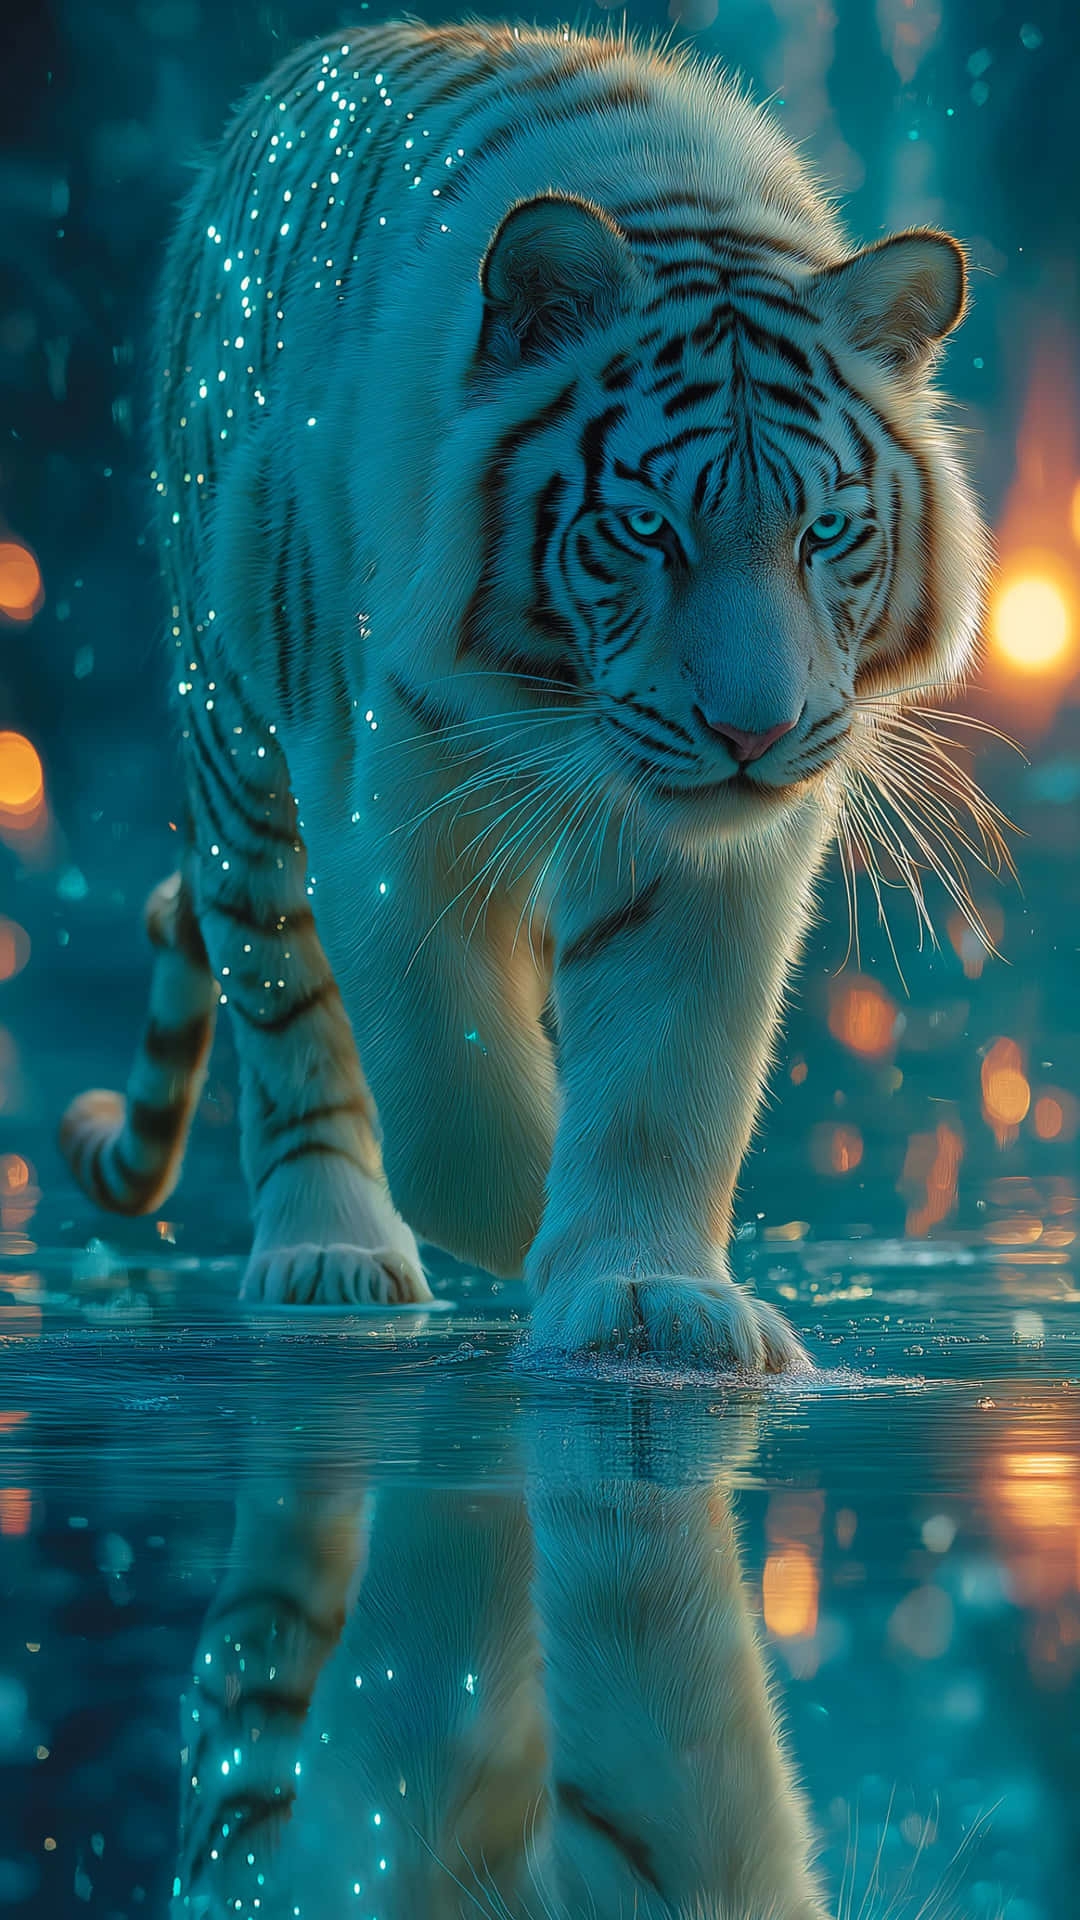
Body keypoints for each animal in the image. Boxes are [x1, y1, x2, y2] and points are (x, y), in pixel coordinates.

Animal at [60, 17, 988, 1367]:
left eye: (824, 531)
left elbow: (664, 1079)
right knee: (285, 1001)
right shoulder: (384, 808)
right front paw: (535, 1242)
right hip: (235, 738)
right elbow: (448, 1091)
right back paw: (329, 1253)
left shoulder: (716, 861)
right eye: (646, 527)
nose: (753, 731)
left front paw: (652, 1291)